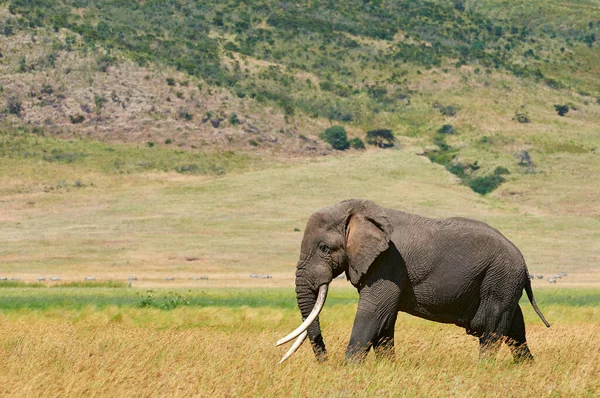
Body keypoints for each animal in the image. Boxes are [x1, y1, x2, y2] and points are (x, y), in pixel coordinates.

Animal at [276, 199, 548, 364]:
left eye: (324, 248)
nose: (325, 362)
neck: (359, 210)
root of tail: (523, 263)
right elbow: (384, 320)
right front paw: (387, 370)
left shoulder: (387, 262)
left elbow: (372, 313)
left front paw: (348, 371)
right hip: (503, 282)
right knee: (515, 330)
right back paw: (526, 369)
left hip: (500, 280)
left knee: (491, 332)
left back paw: (484, 370)